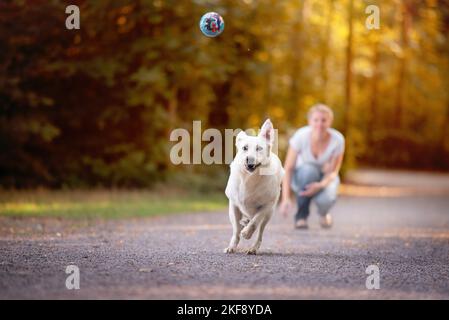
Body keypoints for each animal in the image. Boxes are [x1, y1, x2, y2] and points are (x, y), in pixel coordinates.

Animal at [224, 119, 284, 254]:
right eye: (245, 148)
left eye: (259, 148)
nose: (249, 160)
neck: (249, 178)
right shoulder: (233, 204)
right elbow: (236, 230)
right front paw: (232, 246)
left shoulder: (267, 205)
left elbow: (256, 221)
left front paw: (247, 233)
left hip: (269, 215)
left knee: (260, 232)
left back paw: (253, 248)